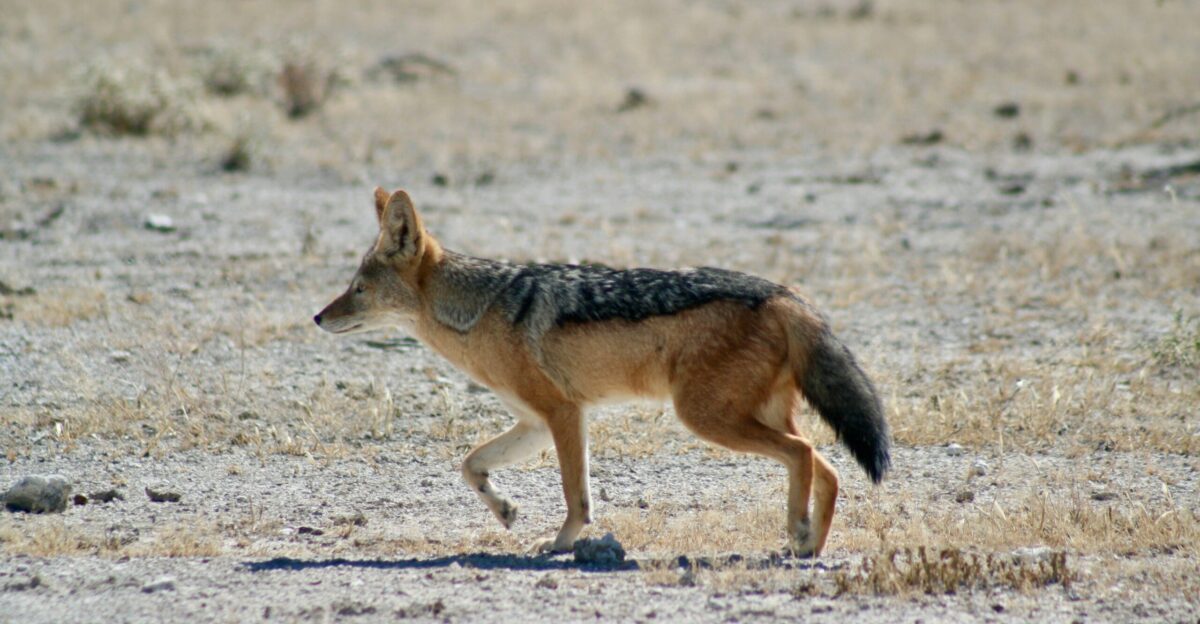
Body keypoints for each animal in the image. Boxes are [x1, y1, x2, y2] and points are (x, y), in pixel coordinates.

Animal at [314, 187, 890, 556]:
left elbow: (576, 495)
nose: (318, 317)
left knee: (805, 453)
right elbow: (470, 464)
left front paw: (561, 542)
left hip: (706, 419)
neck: (479, 312)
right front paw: (506, 511)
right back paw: (811, 544)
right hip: (753, 417)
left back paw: (797, 531)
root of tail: (786, 294)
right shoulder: (534, 423)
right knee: (827, 467)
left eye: (359, 289)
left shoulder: (564, 413)